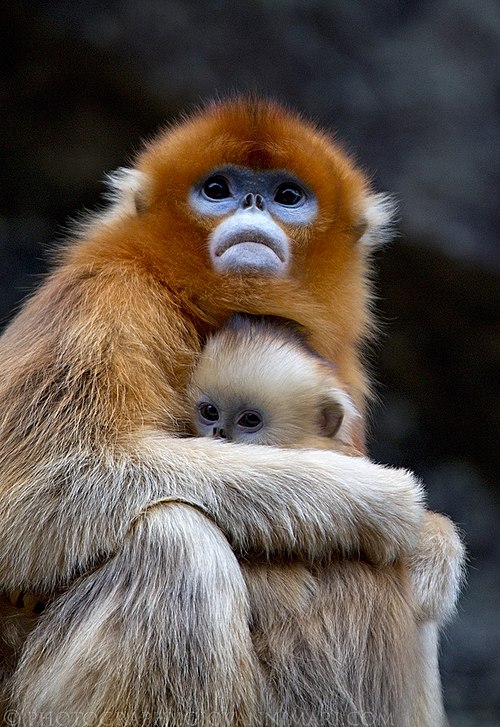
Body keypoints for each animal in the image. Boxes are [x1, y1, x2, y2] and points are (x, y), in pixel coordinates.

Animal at [0, 96, 463, 726]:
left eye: (287, 195)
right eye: (217, 189)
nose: (251, 203)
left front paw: (436, 549)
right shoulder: (106, 300)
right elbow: (37, 495)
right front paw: (374, 499)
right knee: (176, 541)